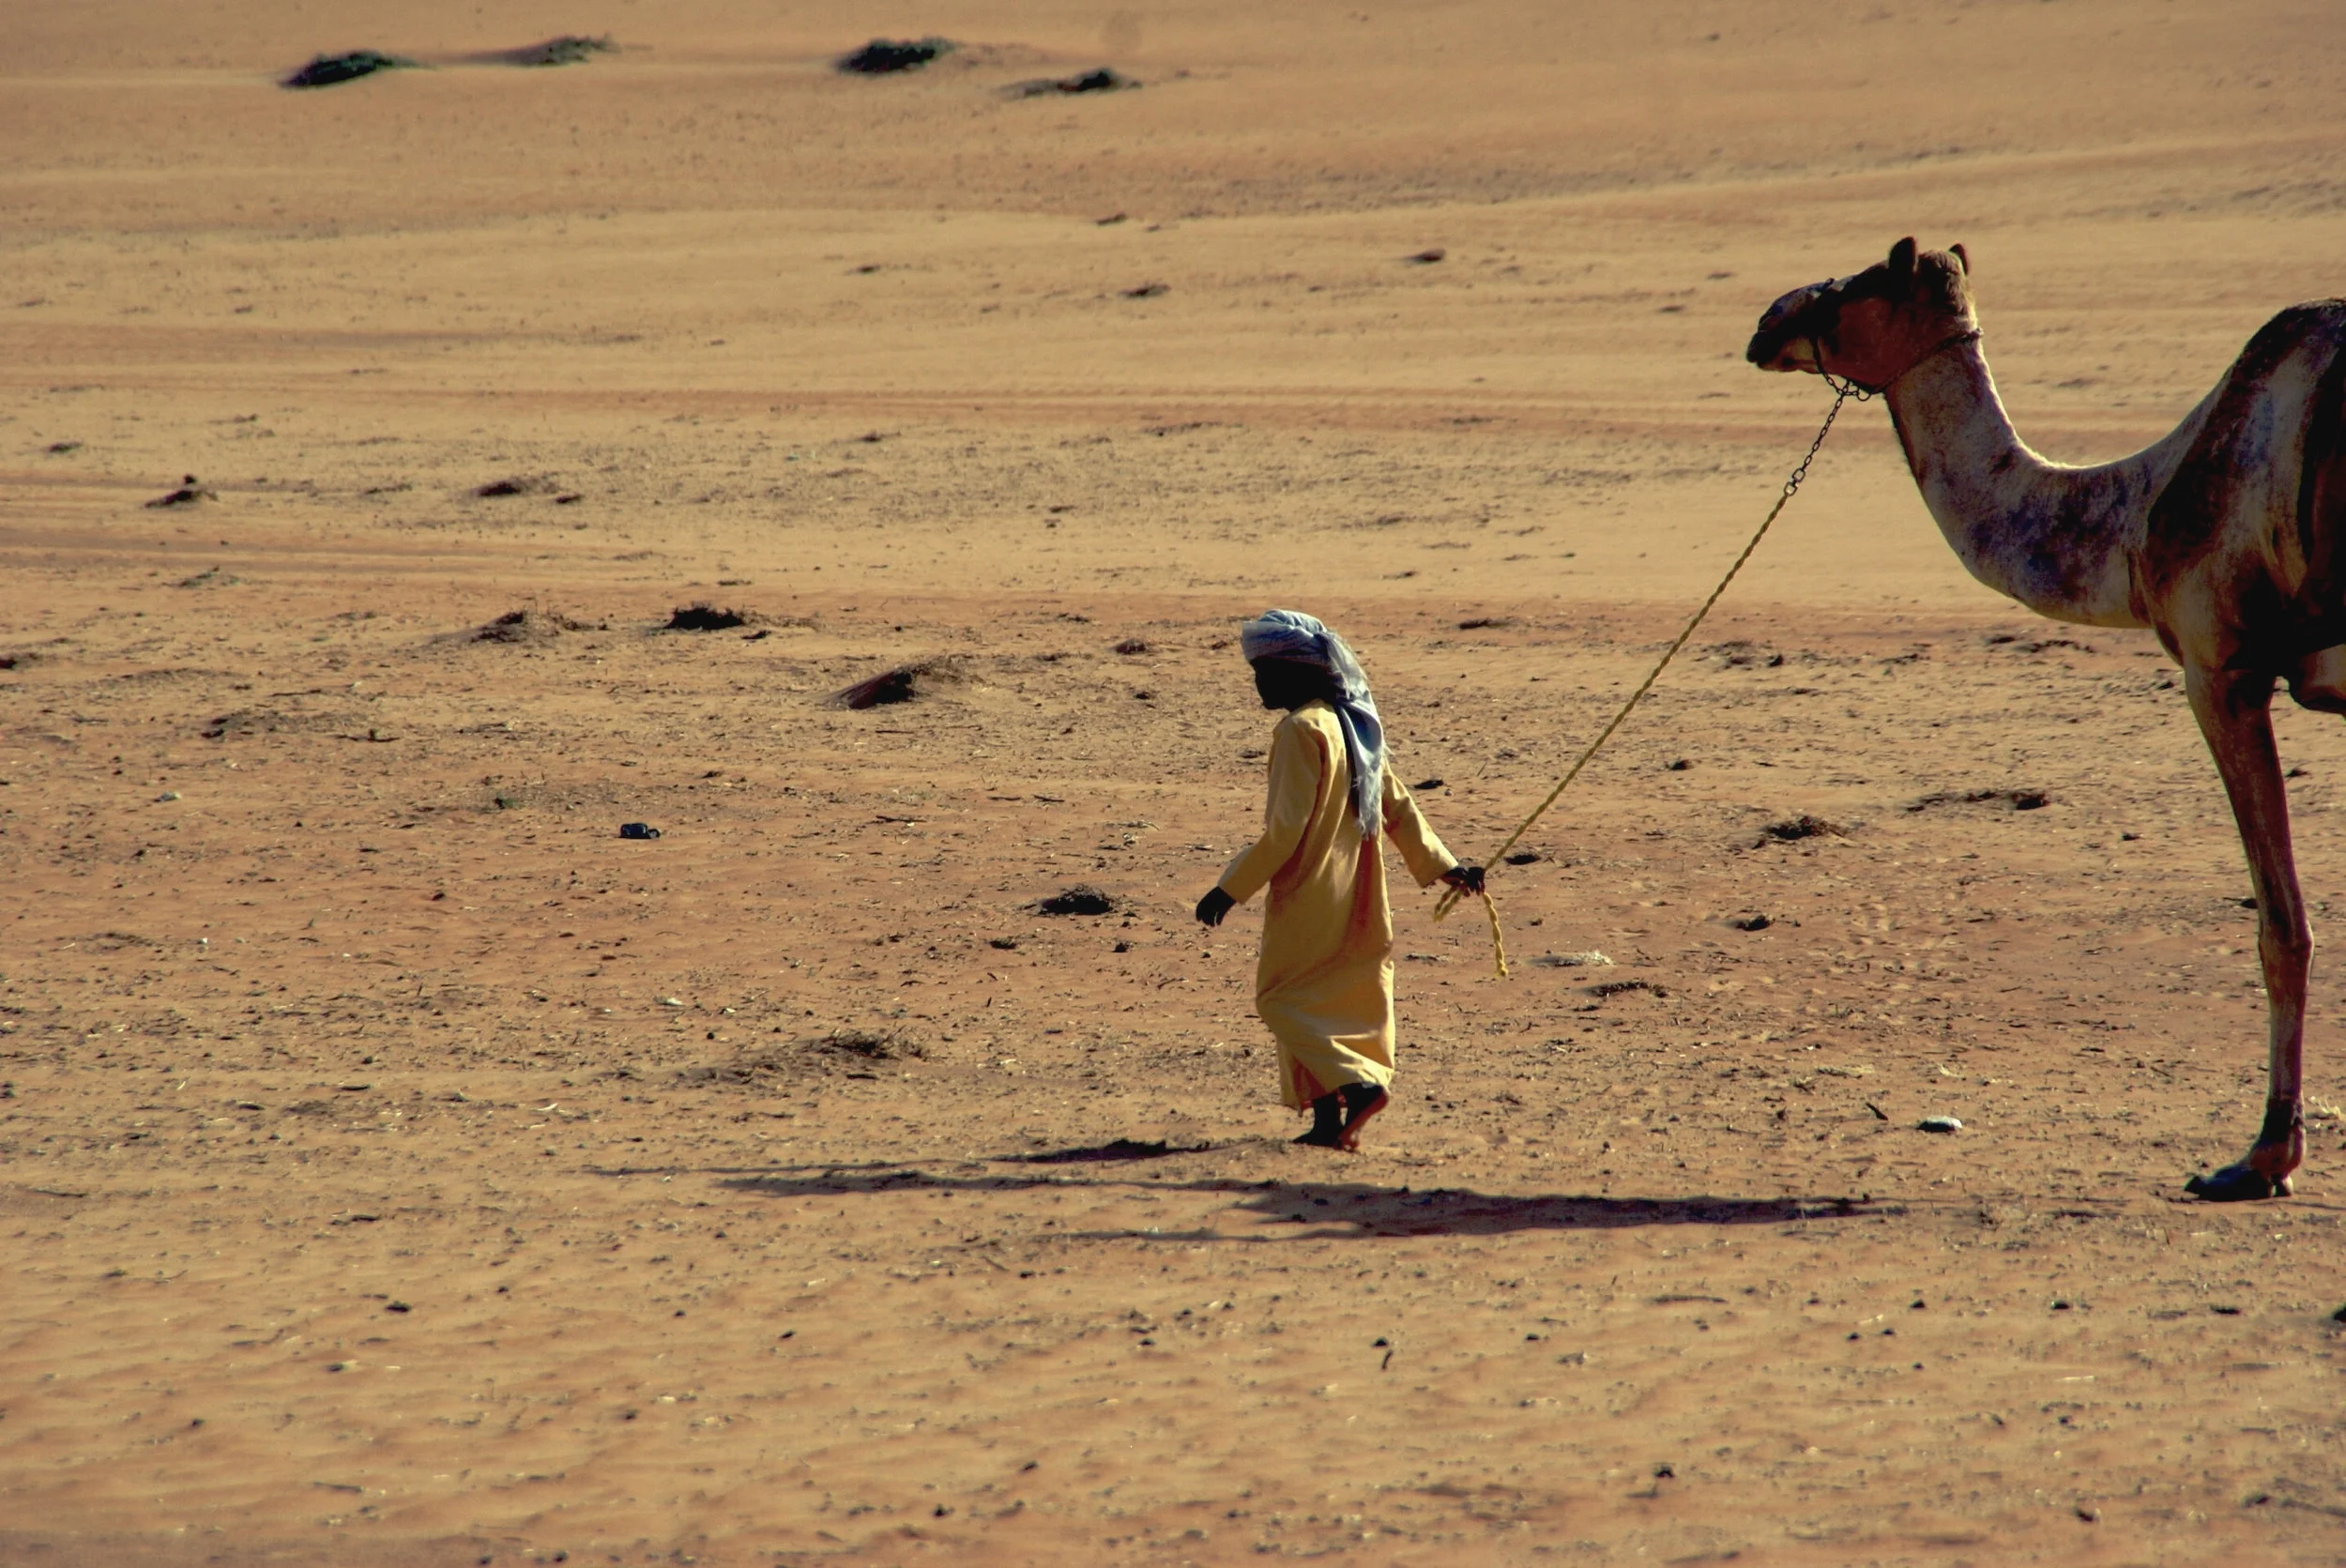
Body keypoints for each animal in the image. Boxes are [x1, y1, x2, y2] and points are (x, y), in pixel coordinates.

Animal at [1746, 238, 2346, 1201]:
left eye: (1865, 280)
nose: (1768, 320)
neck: (2138, 511)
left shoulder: (2220, 670)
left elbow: (2280, 926)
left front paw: (2262, 1157)